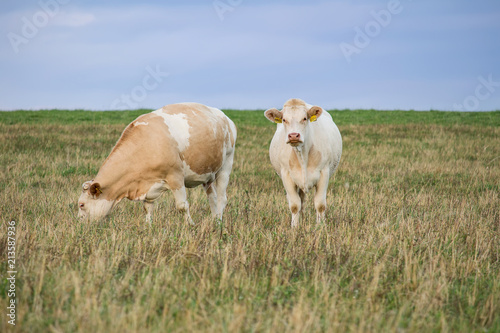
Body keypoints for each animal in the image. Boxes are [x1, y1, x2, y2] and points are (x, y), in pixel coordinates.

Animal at [77, 102, 237, 224]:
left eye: (82, 204)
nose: (80, 225)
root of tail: (225, 117)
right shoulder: (148, 185)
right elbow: (147, 208)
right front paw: (148, 226)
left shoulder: (176, 176)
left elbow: (182, 206)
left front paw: (190, 224)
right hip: (207, 173)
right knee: (212, 197)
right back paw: (214, 219)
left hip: (226, 165)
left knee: (222, 198)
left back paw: (219, 222)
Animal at [264, 98, 342, 227]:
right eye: (284, 119)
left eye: (305, 118)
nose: (293, 135)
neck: (302, 155)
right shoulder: (286, 175)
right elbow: (295, 205)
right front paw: (295, 227)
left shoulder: (324, 173)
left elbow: (320, 204)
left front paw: (320, 226)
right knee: (301, 201)